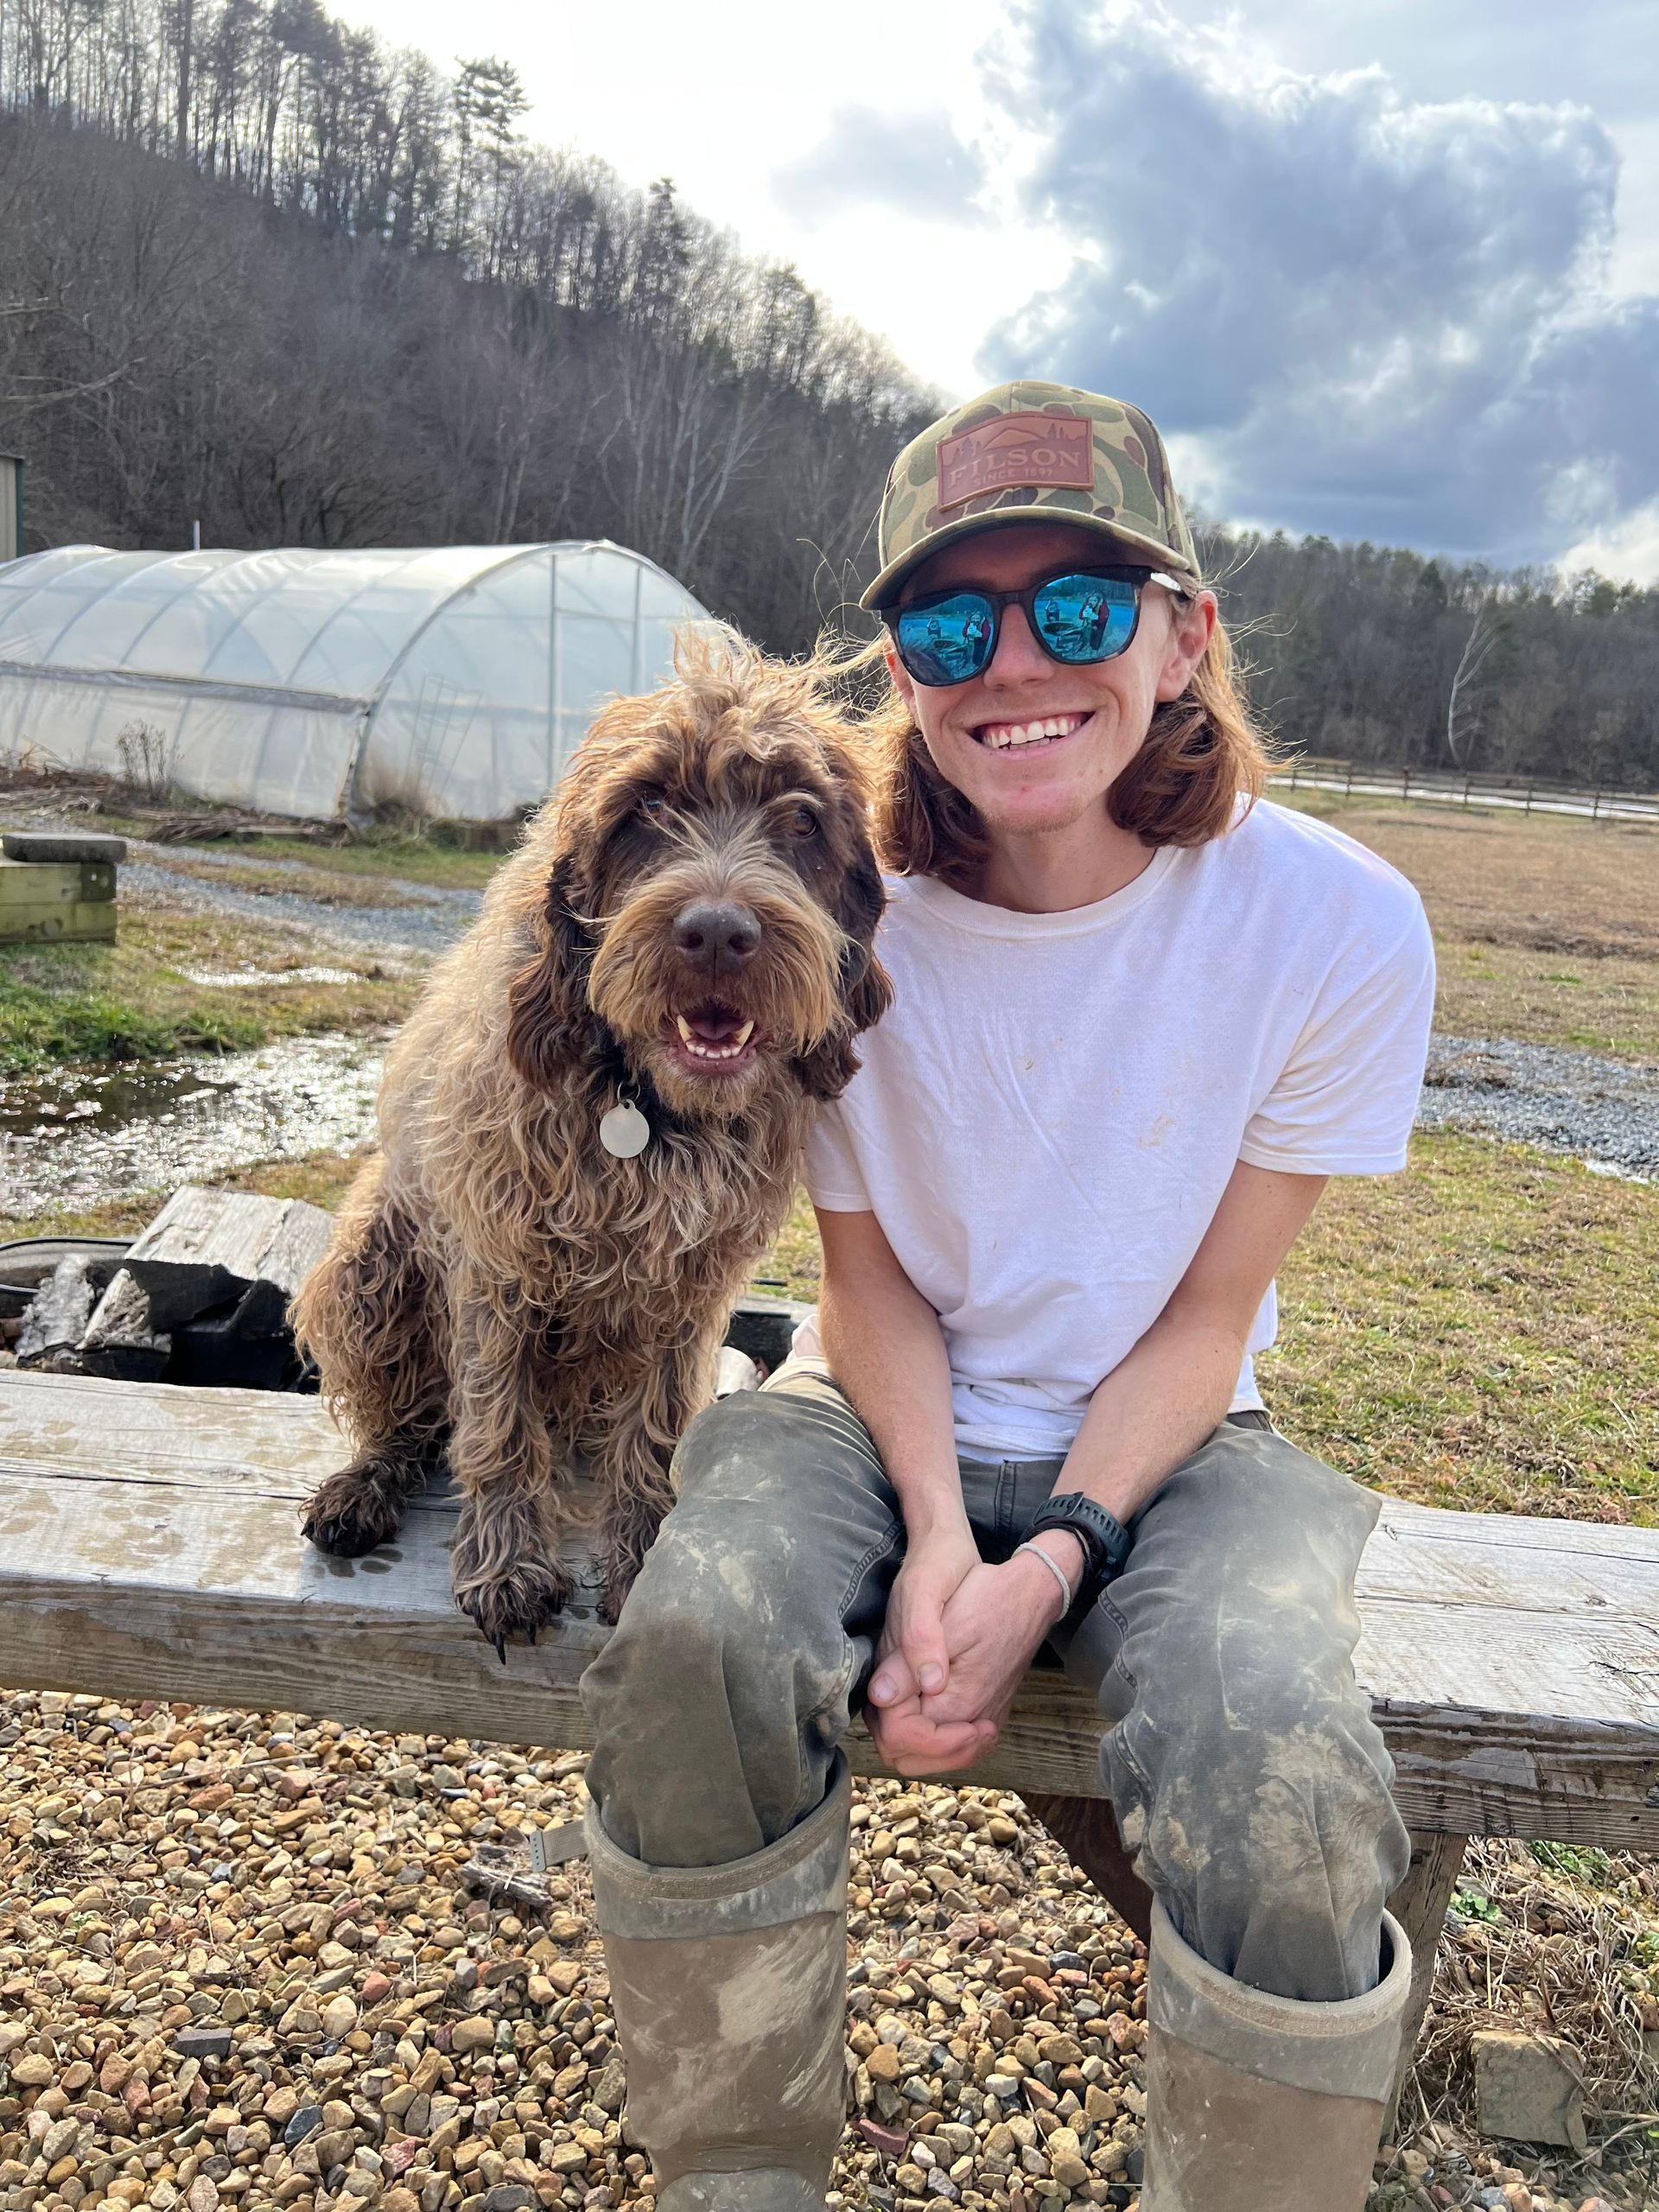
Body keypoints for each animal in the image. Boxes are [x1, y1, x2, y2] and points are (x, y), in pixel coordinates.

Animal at [298, 637, 898, 1645]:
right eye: (647, 808)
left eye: (803, 819)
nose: (718, 933)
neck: (644, 1106)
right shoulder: (496, 1262)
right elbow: (496, 1422)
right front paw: (506, 1562)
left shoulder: (689, 1288)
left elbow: (656, 1427)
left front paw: (647, 1549)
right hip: (367, 1264)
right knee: (413, 1414)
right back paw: (367, 1481)